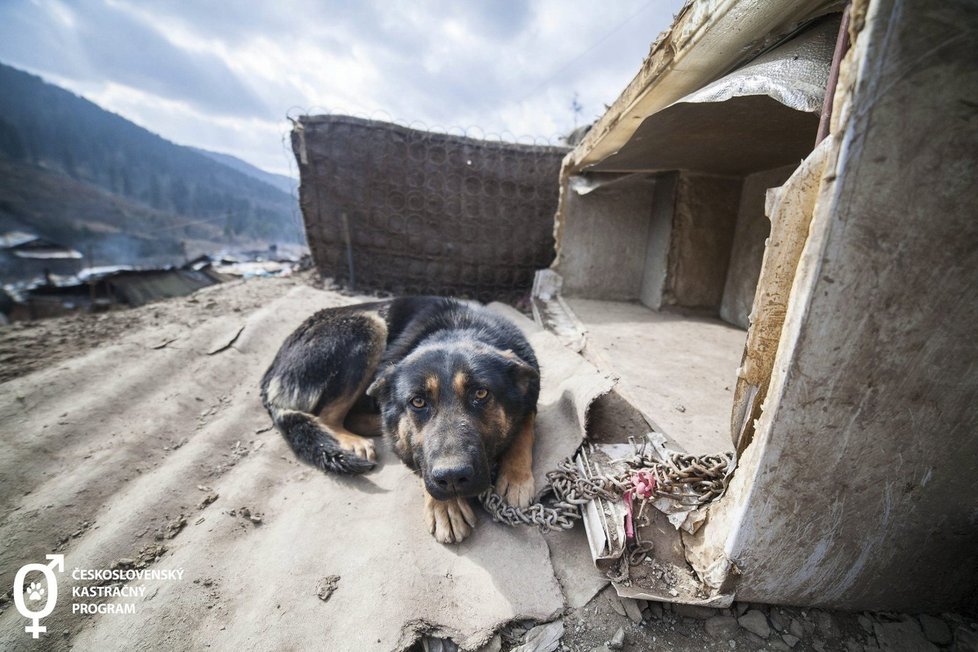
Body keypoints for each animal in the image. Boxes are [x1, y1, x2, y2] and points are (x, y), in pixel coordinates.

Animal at [264, 298, 536, 544]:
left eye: (481, 394)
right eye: (418, 402)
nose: (451, 477)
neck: (459, 329)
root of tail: (271, 372)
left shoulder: (530, 396)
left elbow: (524, 428)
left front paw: (515, 478)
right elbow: (418, 456)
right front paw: (446, 506)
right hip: (368, 326)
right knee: (327, 415)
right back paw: (354, 440)